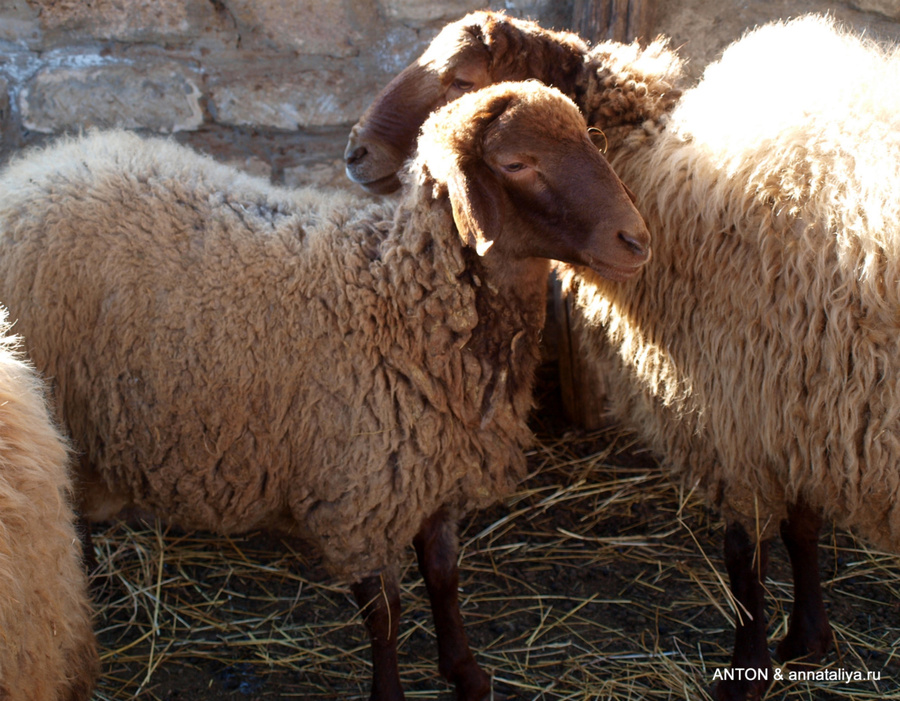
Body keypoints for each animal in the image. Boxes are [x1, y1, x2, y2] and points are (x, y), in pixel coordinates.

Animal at [0, 82, 652, 700]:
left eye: (590, 139)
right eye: (517, 163)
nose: (638, 241)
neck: (398, 298)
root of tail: (40, 167)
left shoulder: (435, 473)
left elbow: (445, 579)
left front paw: (467, 675)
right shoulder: (359, 491)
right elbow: (384, 613)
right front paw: (391, 693)